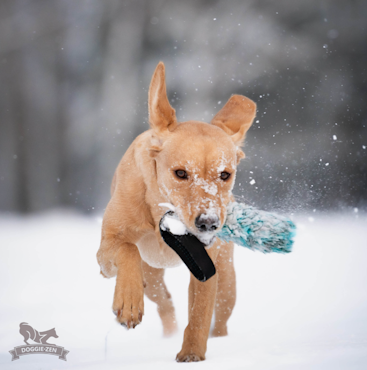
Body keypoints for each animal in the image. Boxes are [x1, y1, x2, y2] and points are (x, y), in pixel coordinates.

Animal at [96, 60, 256, 362]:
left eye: (225, 174)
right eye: (180, 173)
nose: (208, 223)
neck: (161, 211)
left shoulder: (208, 267)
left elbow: (200, 312)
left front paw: (192, 353)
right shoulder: (106, 253)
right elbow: (128, 249)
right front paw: (128, 302)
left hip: (228, 281)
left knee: (220, 318)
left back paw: (220, 341)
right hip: (152, 276)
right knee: (164, 301)